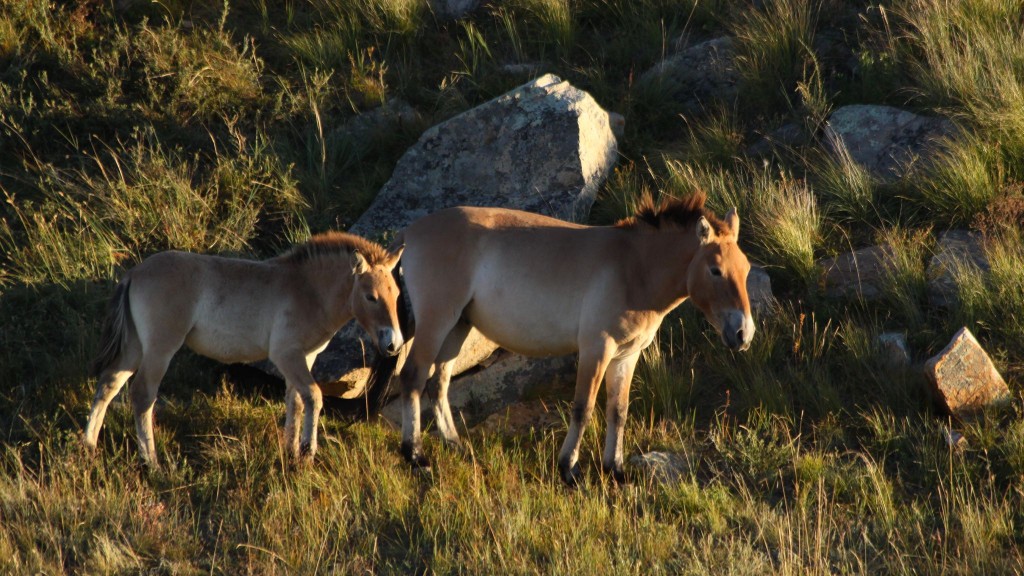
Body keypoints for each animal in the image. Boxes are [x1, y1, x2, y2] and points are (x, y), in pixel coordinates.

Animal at [84, 230, 403, 463]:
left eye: (397, 294)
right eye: (371, 296)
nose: (394, 344)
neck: (307, 289)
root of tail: (134, 273)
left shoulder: (306, 357)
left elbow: (296, 401)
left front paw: (290, 452)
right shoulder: (286, 355)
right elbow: (313, 396)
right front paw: (306, 453)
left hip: (135, 347)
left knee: (109, 385)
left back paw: (88, 446)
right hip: (160, 350)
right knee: (142, 395)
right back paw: (152, 462)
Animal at [391, 192, 753, 483]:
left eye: (746, 268)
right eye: (715, 270)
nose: (743, 333)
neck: (633, 267)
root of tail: (410, 232)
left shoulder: (626, 356)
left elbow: (618, 410)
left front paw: (615, 470)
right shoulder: (597, 349)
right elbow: (584, 407)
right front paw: (569, 469)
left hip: (458, 327)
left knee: (438, 383)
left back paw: (455, 445)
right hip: (438, 321)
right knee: (413, 377)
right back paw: (416, 457)